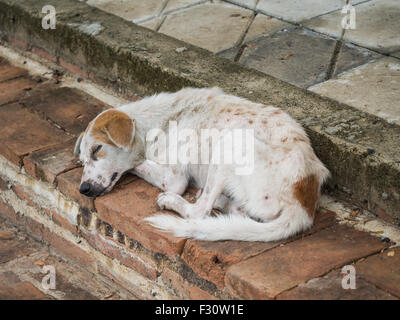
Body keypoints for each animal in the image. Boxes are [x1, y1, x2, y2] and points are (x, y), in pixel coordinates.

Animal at [74, 86, 328, 241]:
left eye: (97, 150)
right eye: (82, 160)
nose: (83, 189)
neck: (157, 122)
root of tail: (304, 201)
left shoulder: (174, 178)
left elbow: (138, 164)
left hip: (230, 142)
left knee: (199, 211)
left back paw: (174, 201)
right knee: (234, 211)